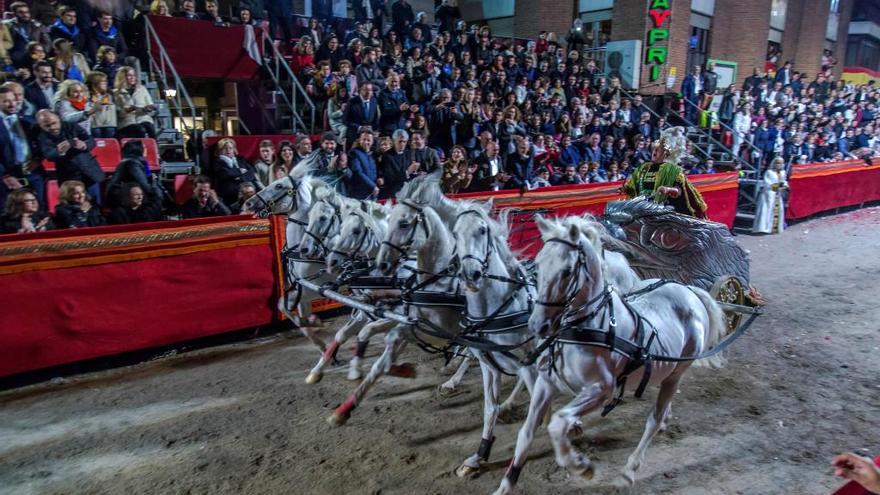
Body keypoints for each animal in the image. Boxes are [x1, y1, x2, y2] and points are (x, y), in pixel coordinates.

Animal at [492, 216, 724, 495]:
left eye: (567, 271)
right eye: (538, 263)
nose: (538, 325)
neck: (584, 329)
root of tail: (689, 291)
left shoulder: (601, 390)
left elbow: (558, 423)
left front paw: (580, 465)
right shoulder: (546, 383)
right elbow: (526, 433)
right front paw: (505, 485)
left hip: (677, 372)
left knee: (653, 419)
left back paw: (630, 469)